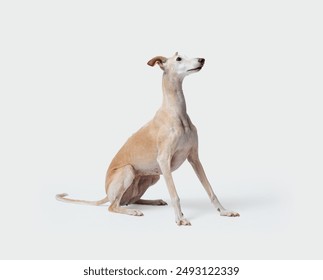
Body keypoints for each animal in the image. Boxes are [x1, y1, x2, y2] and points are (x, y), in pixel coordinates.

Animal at [56, 52, 240, 226]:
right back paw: (133, 212)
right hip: (129, 170)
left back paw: (154, 201)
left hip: (152, 176)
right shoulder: (164, 160)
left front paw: (224, 211)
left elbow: (210, 190)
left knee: (130, 200)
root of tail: (107, 193)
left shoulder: (194, 158)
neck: (177, 112)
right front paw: (180, 218)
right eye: (179, 58)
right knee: (114, 206)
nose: (202, 59)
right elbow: (175, 195)